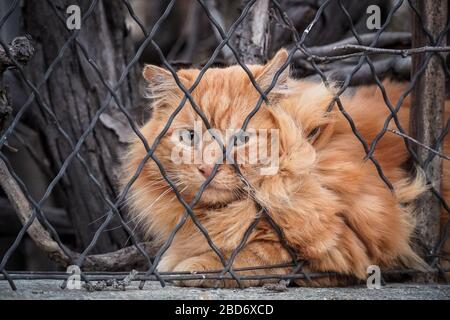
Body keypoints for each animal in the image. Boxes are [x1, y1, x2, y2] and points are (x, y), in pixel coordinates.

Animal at [120, 50, 450, 288]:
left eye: (241, 139)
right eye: (189, 137)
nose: (206, 168)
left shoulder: (346, 243)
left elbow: (252, 254)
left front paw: (187, 264)